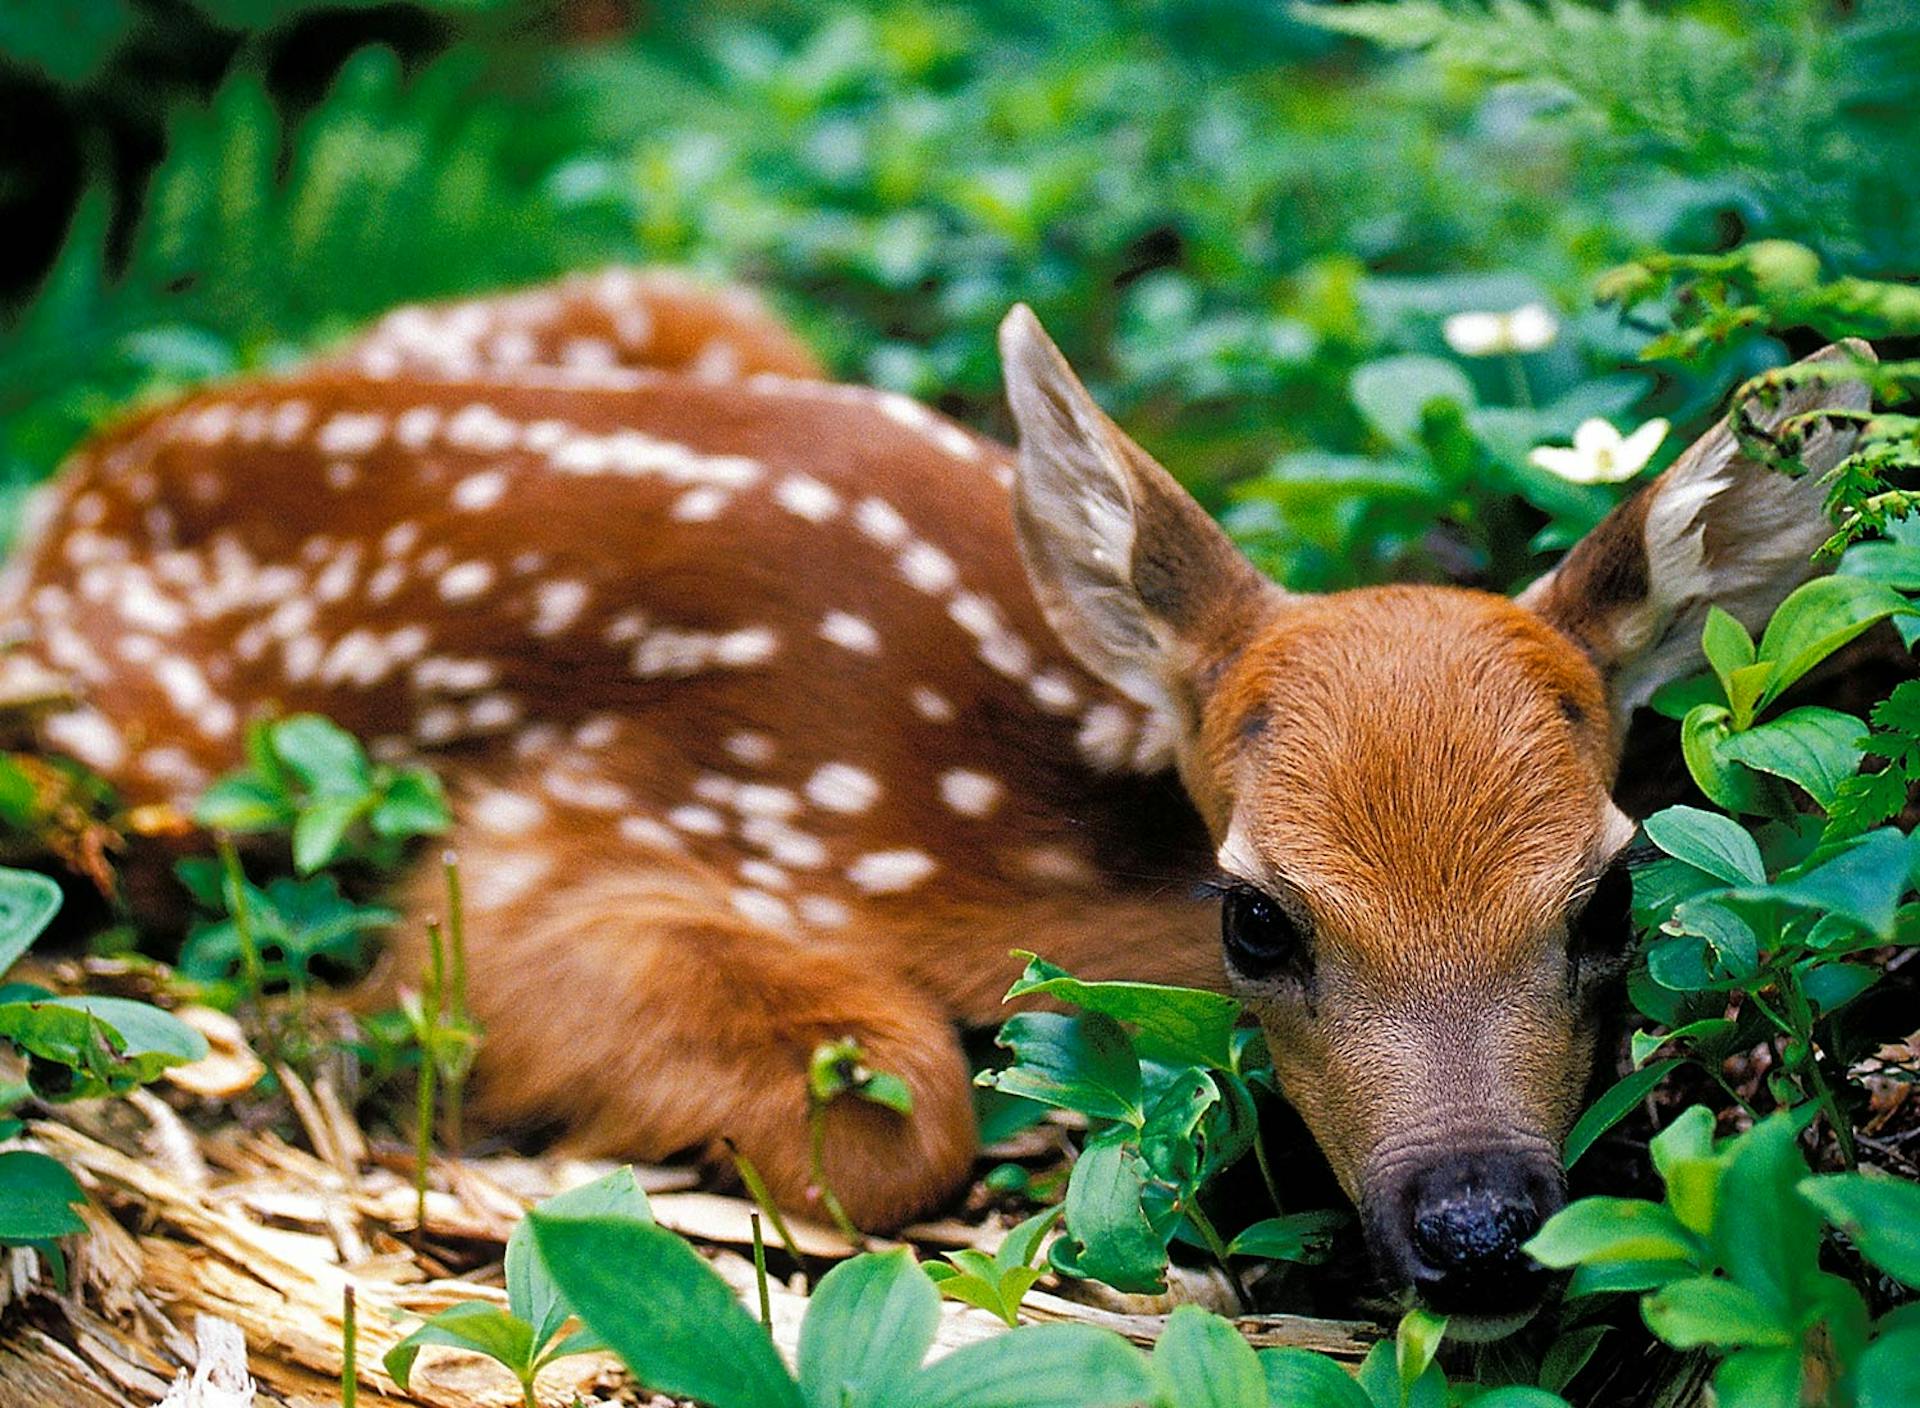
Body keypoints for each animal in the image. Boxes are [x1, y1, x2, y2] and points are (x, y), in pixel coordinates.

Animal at [0, 264, 1871, 1333]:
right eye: (1258, 919)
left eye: (1610, 897)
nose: (1475, 1217)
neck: (1015, 816)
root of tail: (104, 453)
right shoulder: (579, 833)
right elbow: (896, 1110)